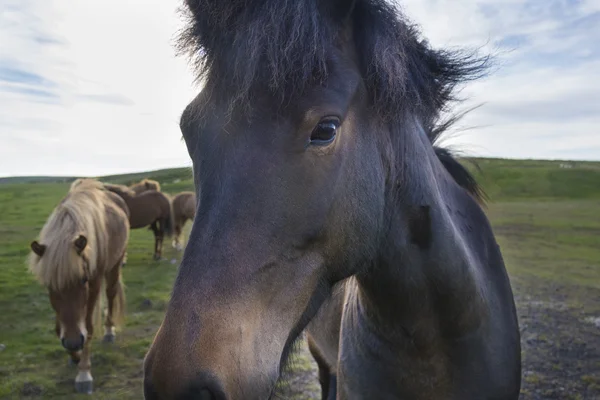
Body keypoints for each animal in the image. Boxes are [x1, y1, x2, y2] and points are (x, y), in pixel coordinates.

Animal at [28, 178, 129, 394]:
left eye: (83, 280)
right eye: (49, 286)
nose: (73, 342)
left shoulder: (94, 282)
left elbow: (88, 326)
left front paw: (83, 372)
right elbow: (60, 327)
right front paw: (73, 356)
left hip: (115, 264)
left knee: (111, 294)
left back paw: (109, 331)